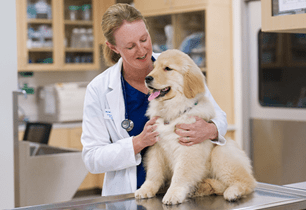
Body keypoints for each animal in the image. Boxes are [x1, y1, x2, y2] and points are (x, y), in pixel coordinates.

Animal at [135, 49, 256, 205]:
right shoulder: (156, 148)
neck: (173, 112)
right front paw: (145, 189)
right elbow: (153, 173)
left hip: (221, 153)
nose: (147, 78)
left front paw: (173, 194)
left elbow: (180, 175)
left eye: (168, 68)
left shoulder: (188, 149)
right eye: (153, 67)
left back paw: (233, 192)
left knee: (247, 181)